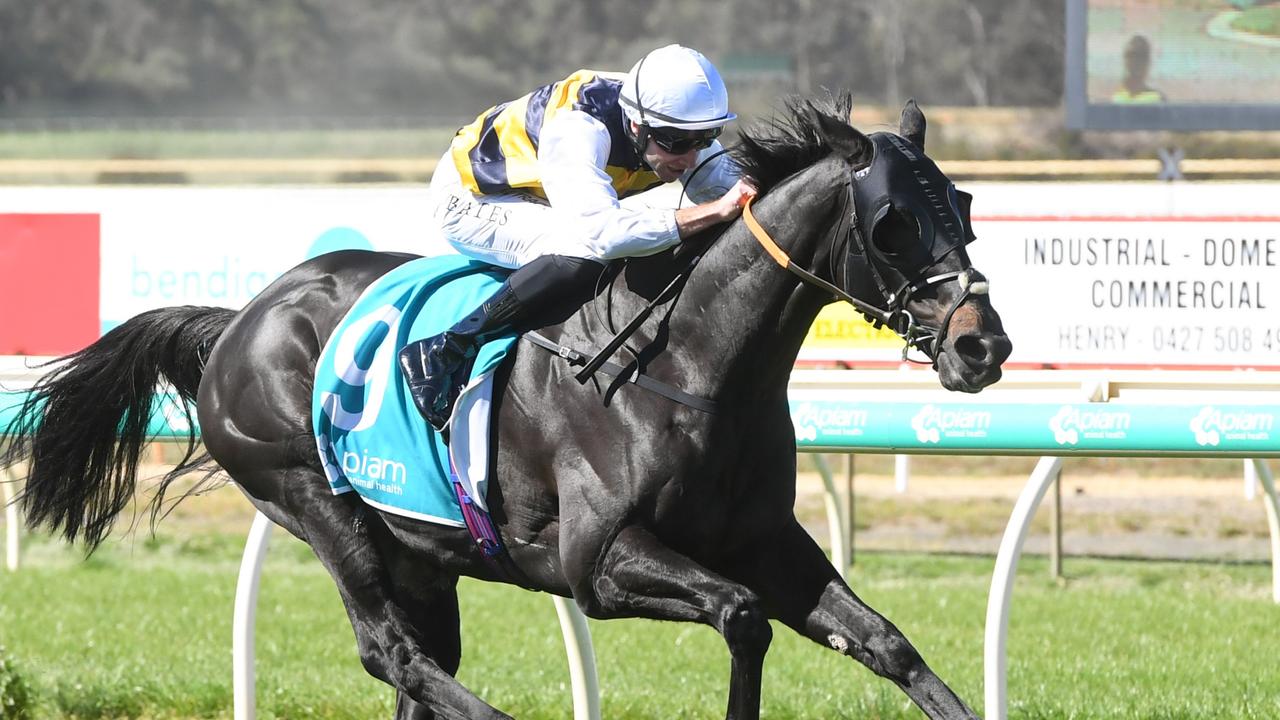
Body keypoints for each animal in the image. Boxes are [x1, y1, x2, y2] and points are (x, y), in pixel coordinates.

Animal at [7, 96, 1008, 717]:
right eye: (890, 224)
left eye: (961, 205)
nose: (982, 345)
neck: (691, 364)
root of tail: (241, 319)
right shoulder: (597, 563)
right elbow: (741, 617)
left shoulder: (764, 538)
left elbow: (884, 642)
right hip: (314, 500)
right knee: (396, 657)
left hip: (417, 549)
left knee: (418, 670)